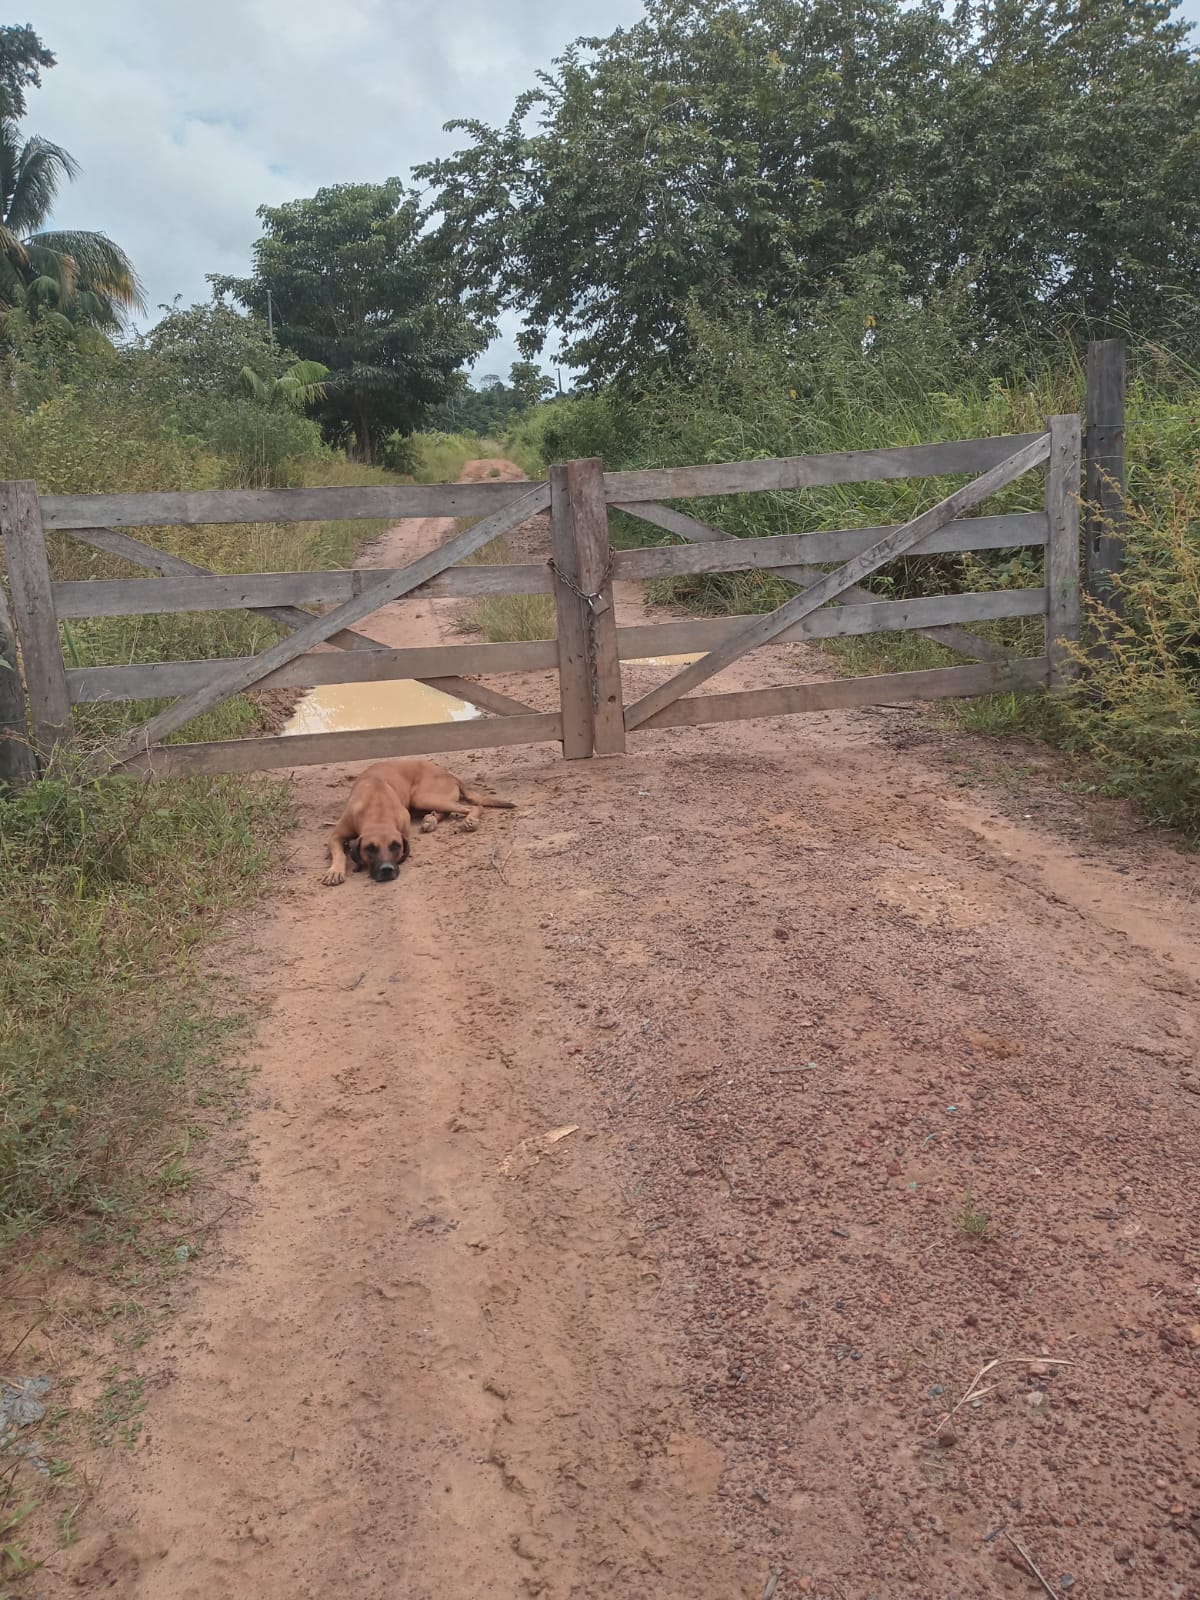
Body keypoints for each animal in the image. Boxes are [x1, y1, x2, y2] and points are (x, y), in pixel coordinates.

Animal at [321, 758, 515, 889]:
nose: (387, 869)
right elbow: (339, 853)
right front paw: (335, 871)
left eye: (396, 846)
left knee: (474, 807)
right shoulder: (335, 836)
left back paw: (469, 821)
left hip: (422, 798)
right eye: (370, 848)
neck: (376, 810)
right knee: (446, 811)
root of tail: (449, 773)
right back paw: (431, 820)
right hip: (420, 802)